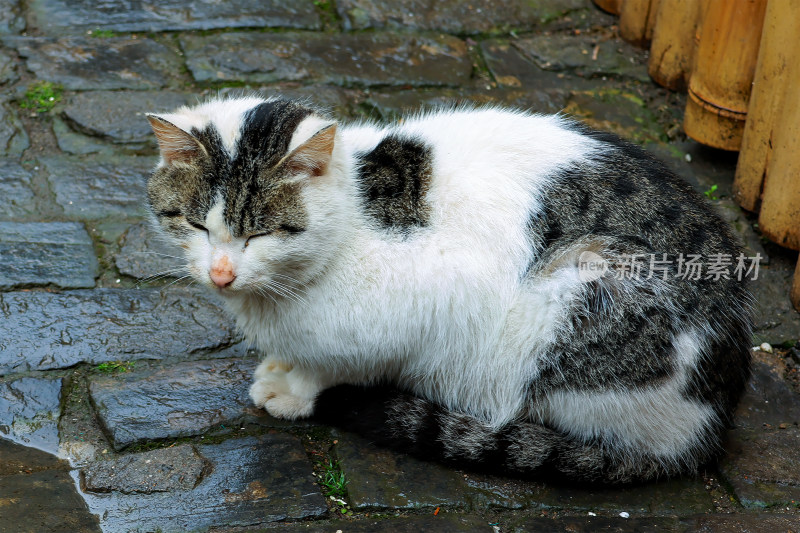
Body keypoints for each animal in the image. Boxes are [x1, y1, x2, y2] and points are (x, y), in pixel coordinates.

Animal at [147, 94, 752, 482]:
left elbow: (336, 364)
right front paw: (283, 366)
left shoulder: (428, 300)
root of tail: (710, 423)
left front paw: (296, 388)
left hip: (585, 285)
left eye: (261, 232)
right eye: (196, 225)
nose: (221, 273)